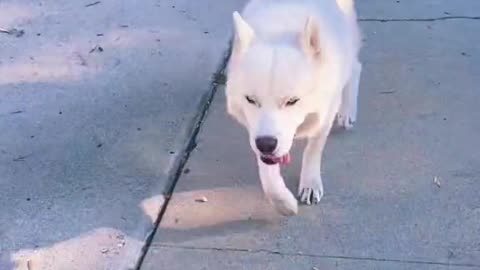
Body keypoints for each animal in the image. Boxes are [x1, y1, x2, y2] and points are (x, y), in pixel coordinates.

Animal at [225, 0, 360, 215]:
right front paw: (283, 203)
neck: (280, 27)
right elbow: (268, 174)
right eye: (251, 100)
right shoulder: (259, 133)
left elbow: (313, 149)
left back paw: (348, 110)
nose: (266, 144)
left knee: (355, 66)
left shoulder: (326, 113)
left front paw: (310, 183)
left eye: (292, 101)